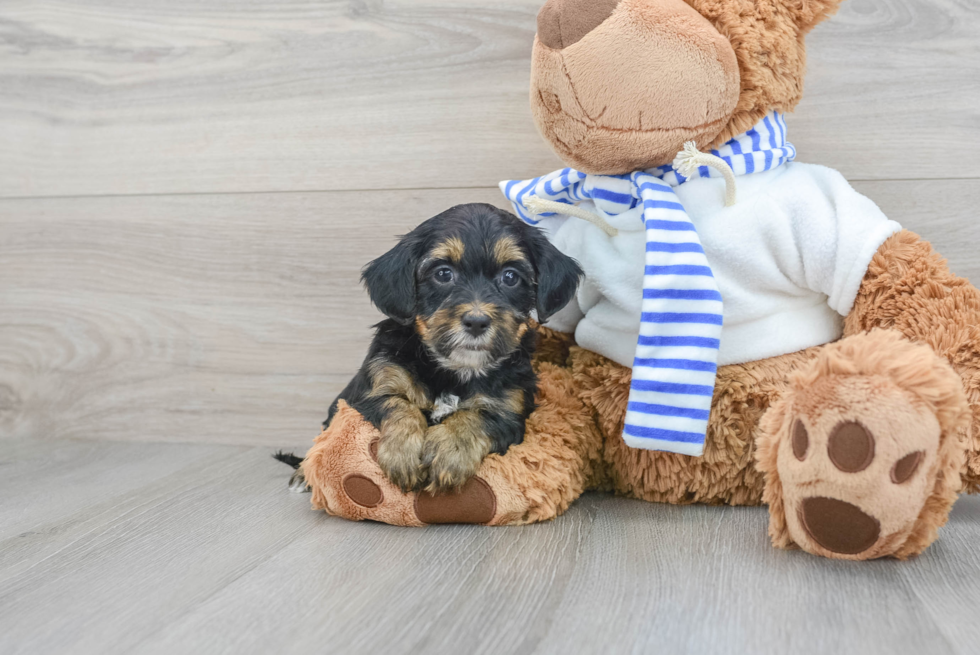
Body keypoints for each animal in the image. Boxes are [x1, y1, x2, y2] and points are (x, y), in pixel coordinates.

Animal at [322, 204, 580, 492]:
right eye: (443, 274)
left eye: (510, 277)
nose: (477, 322)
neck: (456, 369)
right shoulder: (374, 387)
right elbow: (397, 404)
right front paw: (403, 453)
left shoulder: (509, 410)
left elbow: (478, 416)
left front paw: (450, 451)